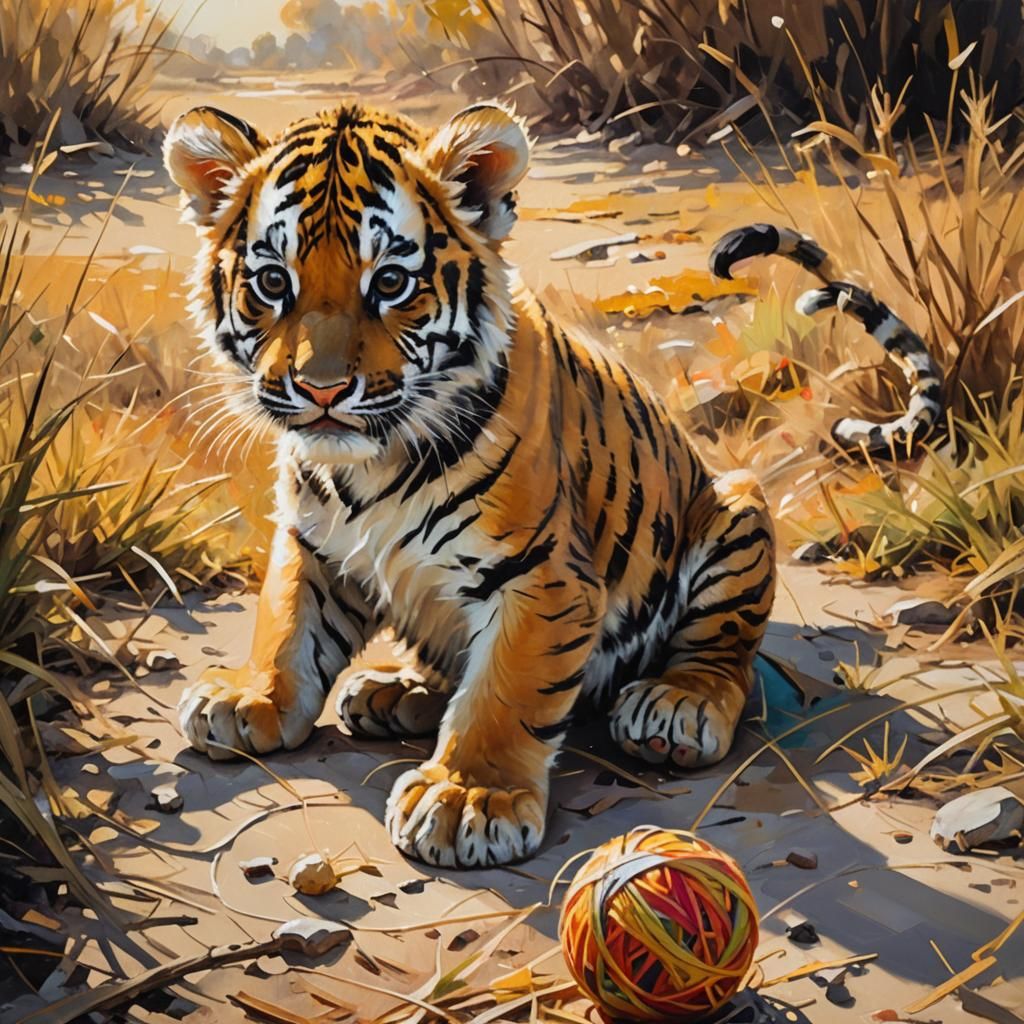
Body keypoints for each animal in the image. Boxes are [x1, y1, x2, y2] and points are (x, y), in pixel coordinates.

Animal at [164, 102, 941, 868]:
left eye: (389, 283)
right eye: (273, 283)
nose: (320, 391)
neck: (367, 463)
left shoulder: (542, 575)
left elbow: (506, 690)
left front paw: (468, 798)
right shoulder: (314, 542)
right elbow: (287, 623)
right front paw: (254, 700)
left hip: (735, 509)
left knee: (724, 655)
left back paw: (675, 705)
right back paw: (394, 690)